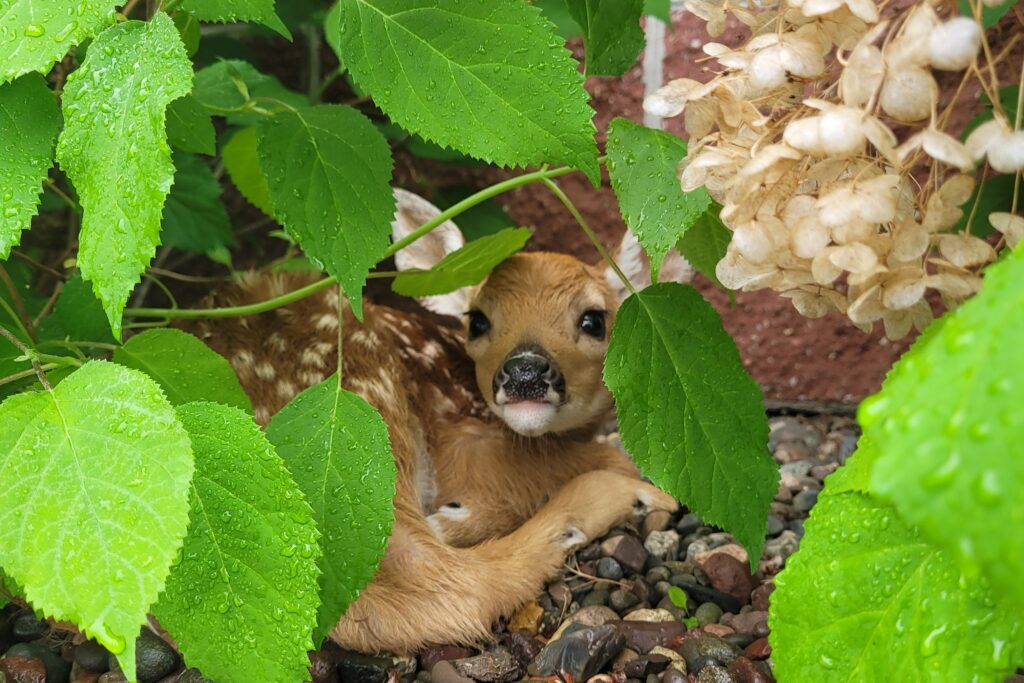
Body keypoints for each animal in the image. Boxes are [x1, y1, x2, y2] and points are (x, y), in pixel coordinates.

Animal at [186, 189, 690, 655]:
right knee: (442, 587)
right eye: (477, 320)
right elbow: (590, 456)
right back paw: (629, 497)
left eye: (594, 320)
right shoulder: (457, 438)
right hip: (366, 419)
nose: (524, 372)